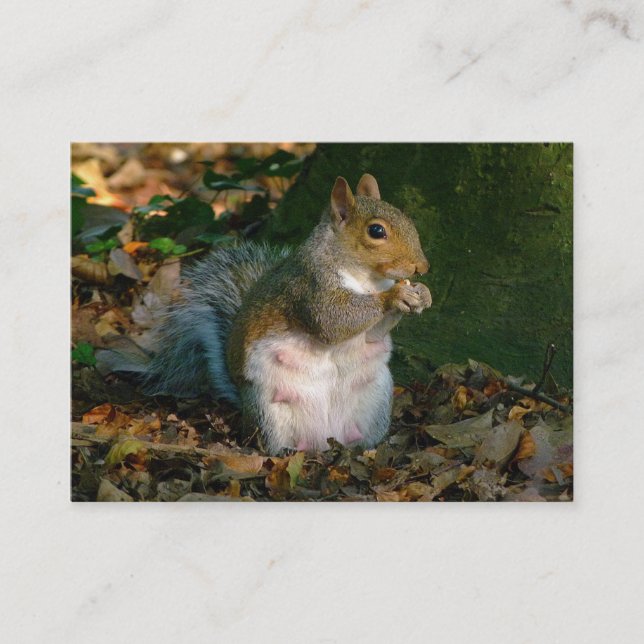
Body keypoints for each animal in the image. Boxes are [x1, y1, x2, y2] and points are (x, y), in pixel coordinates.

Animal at [100, 174, 432, 453]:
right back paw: (285, 452)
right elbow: (333, 321)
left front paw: (421, 294)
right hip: (269, 409)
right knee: (271, 443)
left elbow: (373, 333)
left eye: (407, 218)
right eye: (376, 231)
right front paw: (396, 296)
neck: (366, 279)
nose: (423, 267)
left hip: (376, 399)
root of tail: (324, 438)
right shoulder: (309, 287)